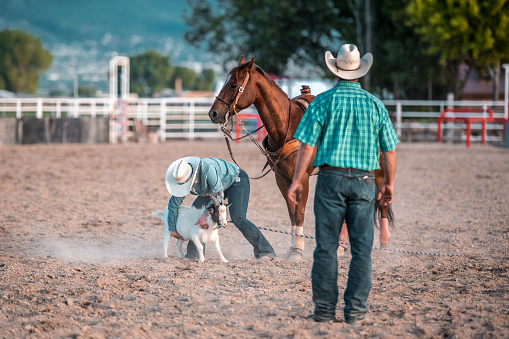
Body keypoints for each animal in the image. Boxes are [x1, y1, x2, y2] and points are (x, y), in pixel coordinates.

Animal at [208, 57, 390, 262]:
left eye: (233, 84)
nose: (213, 113)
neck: (287, 127)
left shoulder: (302, 178)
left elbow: (300, 212)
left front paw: (297, 250)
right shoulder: (282, 179)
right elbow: (291, 212)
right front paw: (293, 247)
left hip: (380, 171)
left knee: (383, 202)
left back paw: (384, 246)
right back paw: (343, 246)